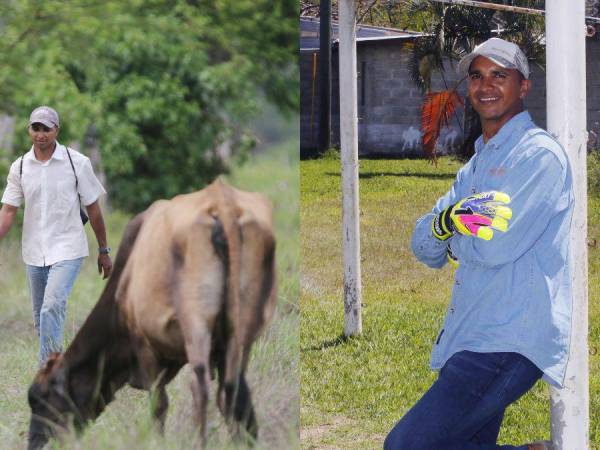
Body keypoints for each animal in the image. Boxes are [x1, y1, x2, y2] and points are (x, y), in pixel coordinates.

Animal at [24, 179, 276, 450]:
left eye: (40, 399)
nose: (34, 444)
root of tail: (222, 204)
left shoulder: (144, 345)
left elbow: (159, 404)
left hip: (196, 322)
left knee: (200, 387)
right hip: (243, 329)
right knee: (232, 390)